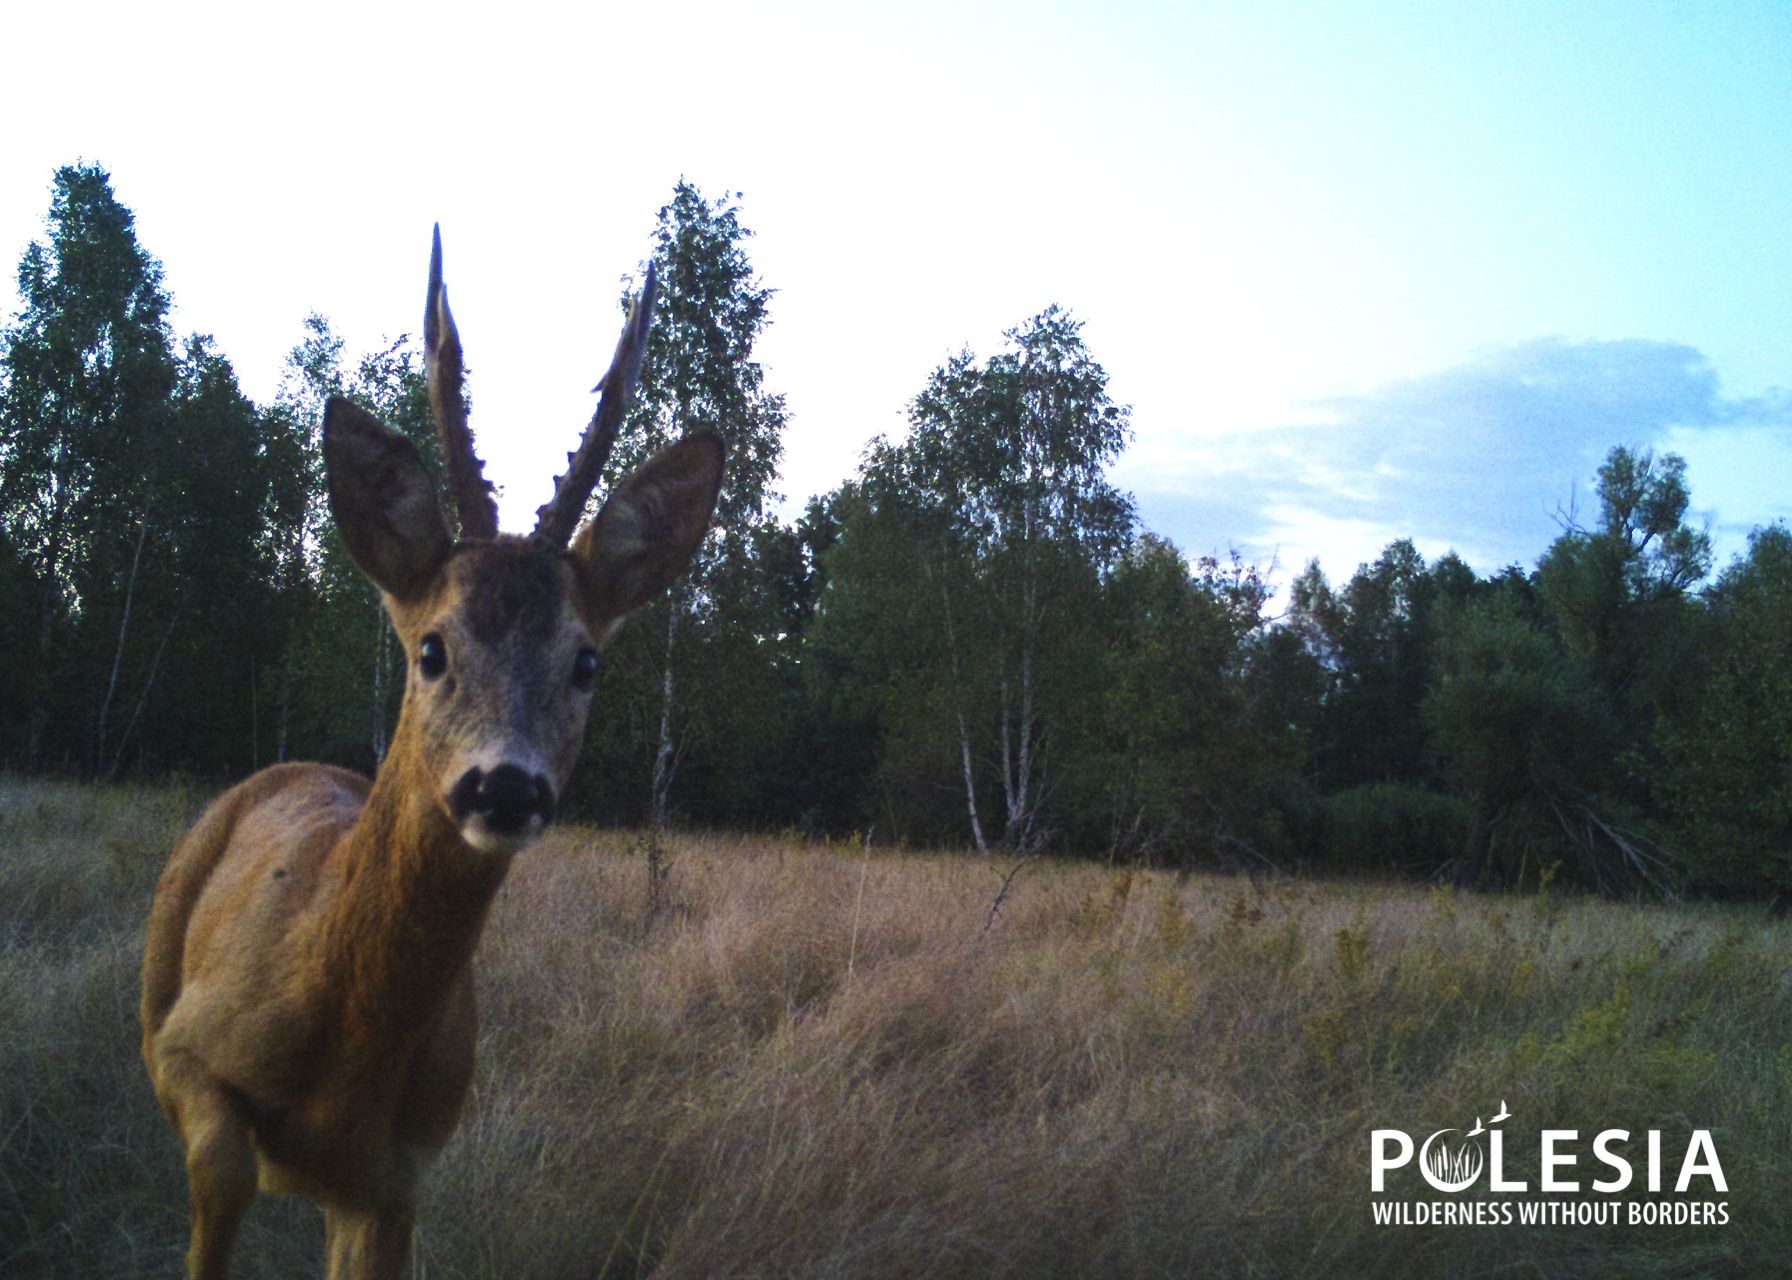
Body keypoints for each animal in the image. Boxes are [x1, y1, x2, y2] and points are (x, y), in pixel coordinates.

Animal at [141, 229, 720, 1276]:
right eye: (431, 648)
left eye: (586, 661)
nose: (505, 786)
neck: (343, 1040)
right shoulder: (183, 1051)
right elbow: (224, 1177)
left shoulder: (399, 1176)